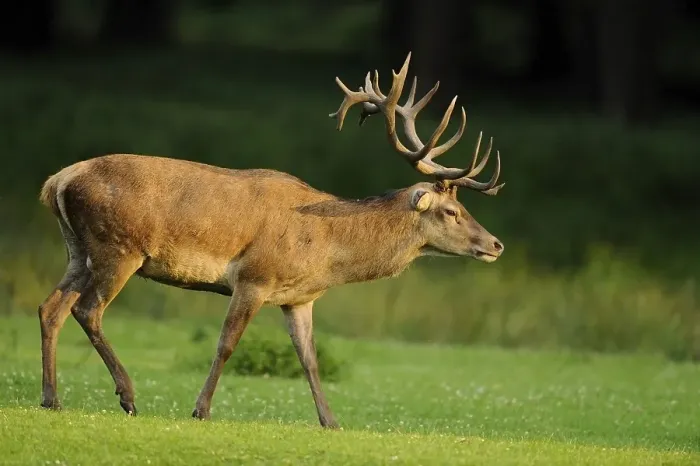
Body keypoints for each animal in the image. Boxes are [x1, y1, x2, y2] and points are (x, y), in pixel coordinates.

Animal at [36, 52, 505, 429]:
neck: (327, 249)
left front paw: (331, 422)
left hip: (79, 249)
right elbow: (227, 344)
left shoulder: (299, 297)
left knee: (51, 308)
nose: (496, 244)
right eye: (452, 211)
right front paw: (201, 410)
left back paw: (51, 399)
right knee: (87, 310)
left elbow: (310, 360)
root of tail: (57, 180)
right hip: (119, 247)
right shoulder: (253, 277)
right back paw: (128, 396)